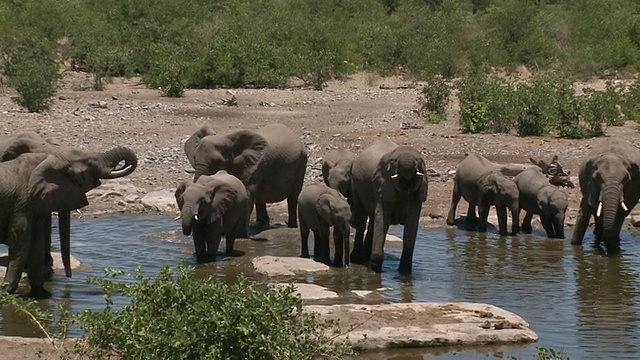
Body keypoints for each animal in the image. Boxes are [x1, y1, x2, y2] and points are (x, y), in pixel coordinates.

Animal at [0, 146, 139, 298]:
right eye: (89, 163)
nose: (69, 277)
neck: (50, 158)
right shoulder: (22, 203)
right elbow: (21, 241)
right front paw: (6, 293)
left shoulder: (36, 202)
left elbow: (36, 241)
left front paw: (43, 296)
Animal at [348, 138, 428, 272]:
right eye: (395, 165)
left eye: (418, 163)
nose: (406, 183)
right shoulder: (382, 185)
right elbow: (383, 220)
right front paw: (374, 271)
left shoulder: (418, 192)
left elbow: (412, 223)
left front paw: (405, 273)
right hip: (355, 184)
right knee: (362, 216)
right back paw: (357, 259)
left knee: (373, 219)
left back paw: (366, 256)